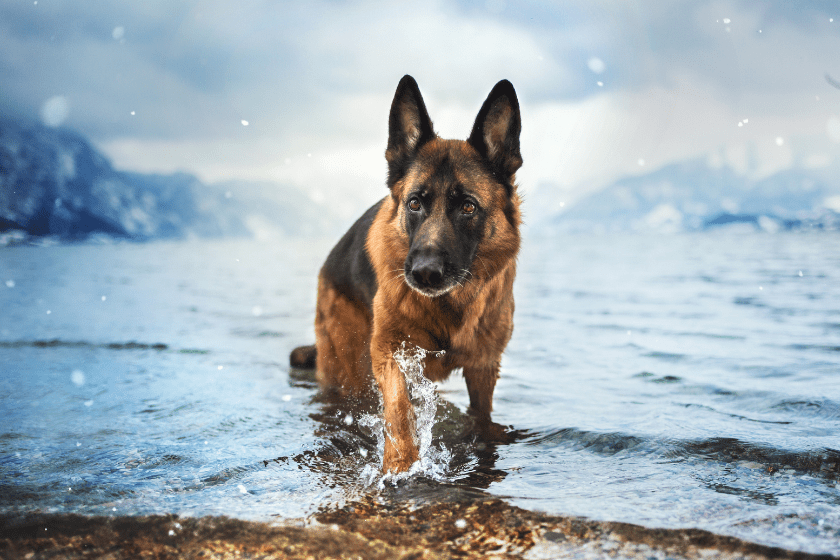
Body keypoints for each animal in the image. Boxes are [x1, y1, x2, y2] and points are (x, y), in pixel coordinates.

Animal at [292, 75, 520, 472]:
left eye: (467, 207)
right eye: (415, 203)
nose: (425, 273)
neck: (447, 310)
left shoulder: (484, 368)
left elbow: (481, 419)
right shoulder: (388, 350)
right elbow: (398, 406)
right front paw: (400, 464)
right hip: (348, 367)